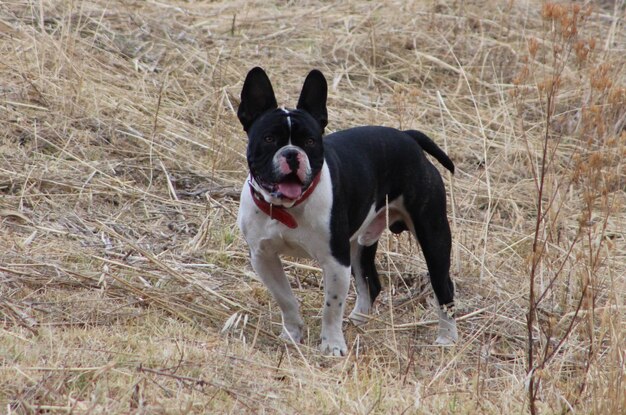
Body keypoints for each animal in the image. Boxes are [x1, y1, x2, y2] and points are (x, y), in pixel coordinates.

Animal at [236, 66, 456, 356]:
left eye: (310, 141)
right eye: (269, 139)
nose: (292, 153)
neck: (288, 208)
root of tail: (408, 136)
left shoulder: (335, 261)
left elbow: (331, 306)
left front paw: (332, 345)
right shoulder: (264, 258)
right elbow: (286, 299)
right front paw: (292, 334)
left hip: (433, 235)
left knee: (443, 286)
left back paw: (446, 338)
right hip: (360, 243)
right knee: (370, 284)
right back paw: (357, 320)